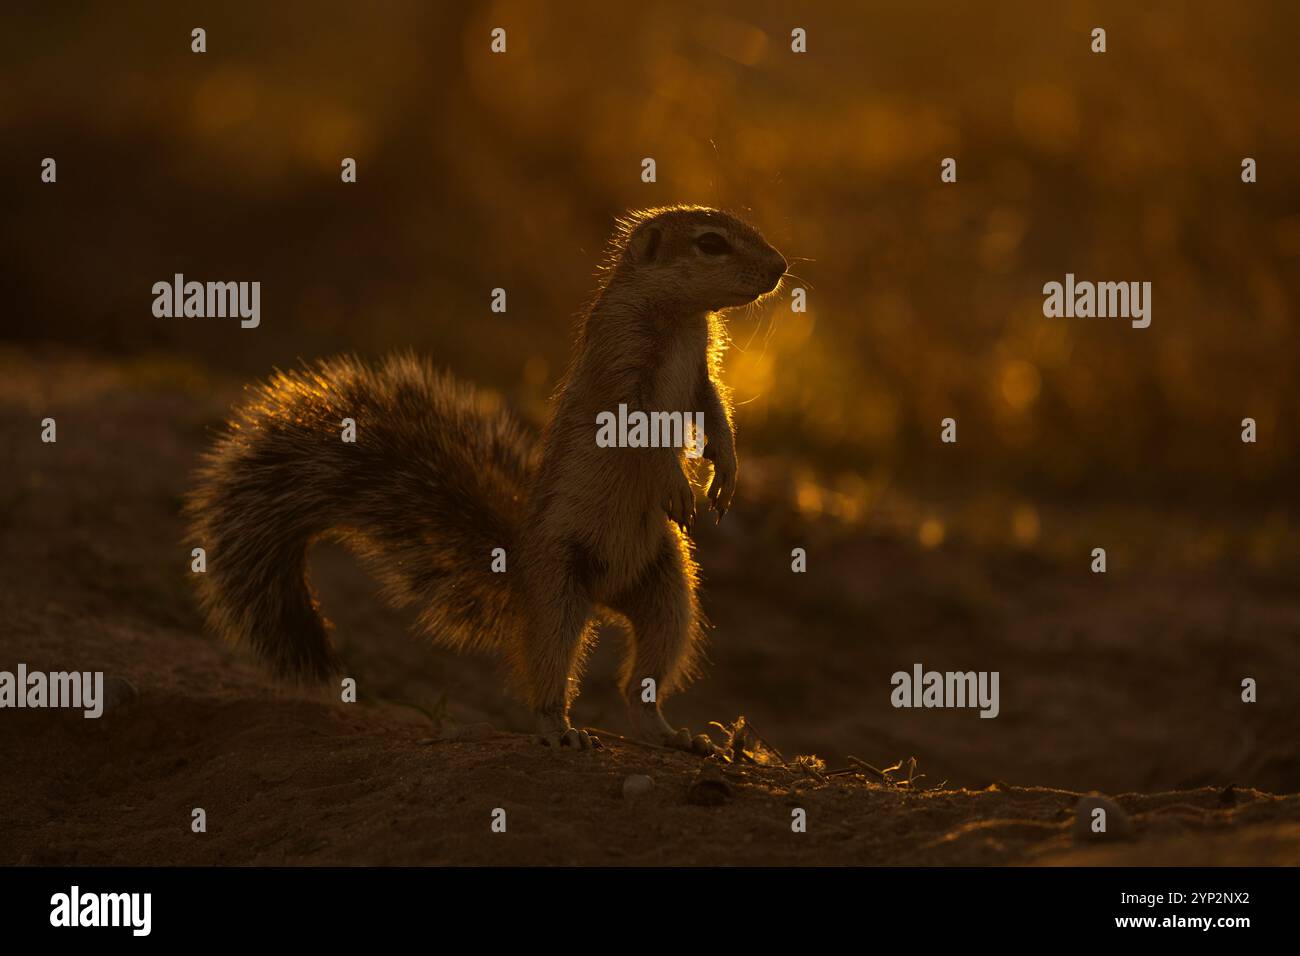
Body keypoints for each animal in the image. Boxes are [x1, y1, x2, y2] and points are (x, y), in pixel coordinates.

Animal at [185, 205, 788, 753]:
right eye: (711, 244)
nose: (781, 267)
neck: (682, 318)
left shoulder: (702, 372)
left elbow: (714, 408)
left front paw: (725, 472)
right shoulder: (622, 366)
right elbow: (641, 432)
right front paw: (678, 486)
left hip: (669, 591)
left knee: (643, 677)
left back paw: (667, 732)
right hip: (558, 589)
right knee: (548, 668)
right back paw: (558, 728)